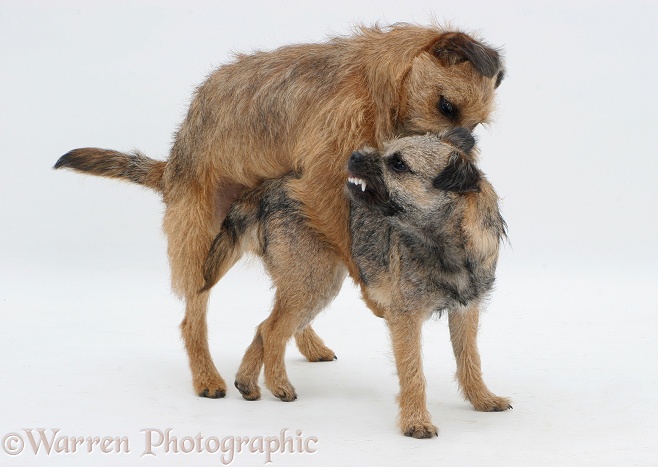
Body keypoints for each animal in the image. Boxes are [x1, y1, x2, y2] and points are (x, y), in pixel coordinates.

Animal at [202, 129, 510, 438]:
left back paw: (247, 382)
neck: (447, 246)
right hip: (314, 282)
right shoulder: (406, 317)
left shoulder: (466, 310)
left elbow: (470, 359)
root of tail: (268, 187)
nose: (354, 155)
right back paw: (279, 385)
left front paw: (483, 399)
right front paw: (416, 421)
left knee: (264, 328)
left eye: (398, 164)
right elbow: (413, 371)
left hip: (310, 285)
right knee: (273, 330)